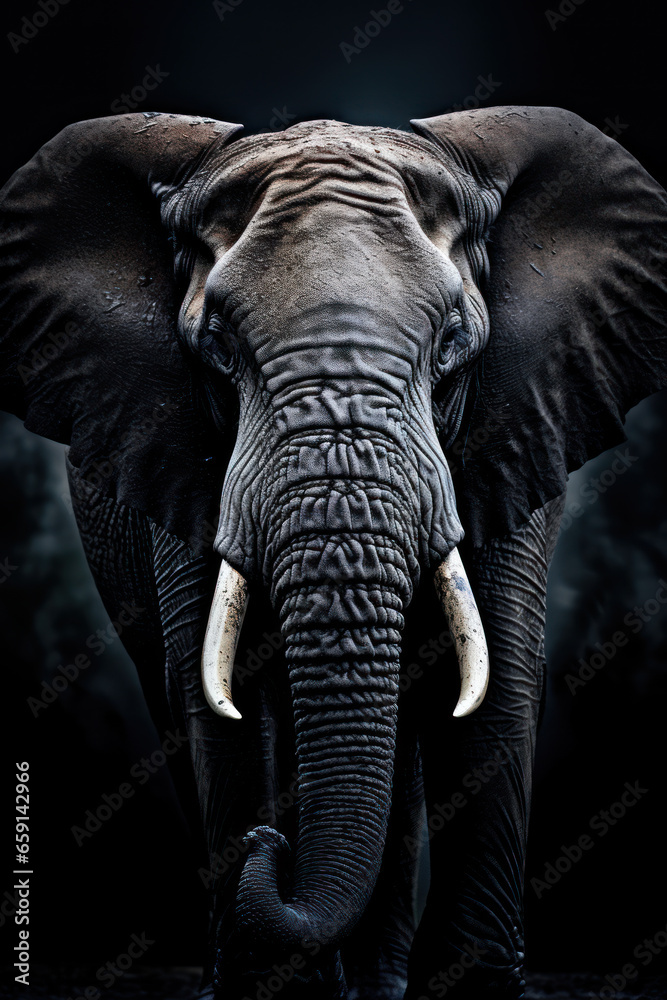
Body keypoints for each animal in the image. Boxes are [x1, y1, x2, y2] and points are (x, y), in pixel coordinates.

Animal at [1, 105, 666, 1000]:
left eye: (451, 343)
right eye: (218, 346)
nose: (269, 852)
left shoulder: (519, 421)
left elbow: (493, 684)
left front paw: (471, 988)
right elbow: (224, 698)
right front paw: (268, 984)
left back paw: (374, 984)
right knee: (172, 693)